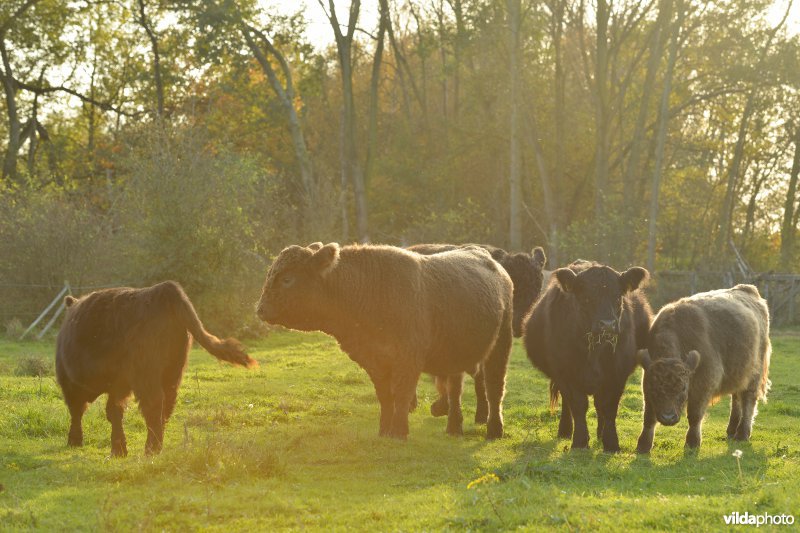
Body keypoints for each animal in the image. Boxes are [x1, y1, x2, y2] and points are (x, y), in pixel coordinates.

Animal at [55, 280, 255, 456]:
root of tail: (163, 289)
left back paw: (151, 449)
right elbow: (113, 411)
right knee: (166, 405)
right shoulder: (118, 384)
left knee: (153, 404)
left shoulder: (71, 382)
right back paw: (158, 444)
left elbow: (79, 410)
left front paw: (76, 440)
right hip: (172, 371)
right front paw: (119, 449)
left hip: (146, 373)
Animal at [260, 243, 516, 438]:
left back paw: (494, 429)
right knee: (455, 390)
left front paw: (399, 431)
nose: (260, 309)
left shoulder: (408, 359)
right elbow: (386, 396)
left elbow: (402, 394)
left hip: (500, 346)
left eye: (287, 279)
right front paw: (384, 430)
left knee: (494, 387)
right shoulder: (375, 361)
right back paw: (453, 426)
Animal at [524, 260, 648, 450]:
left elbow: (608, 406)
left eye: (617, 296)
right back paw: (565, 430)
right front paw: (580, 441)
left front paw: (611, 443)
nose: (608, 325)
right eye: (587, 298)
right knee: (568, 404)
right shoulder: (566, 373)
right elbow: (578, 405)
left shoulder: (617, 374)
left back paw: (600, 433)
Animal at [636, 282, 768, 454]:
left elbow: (694, 415)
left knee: (748, 401)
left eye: (683, 388)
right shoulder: (647, 385)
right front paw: (643, 445)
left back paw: (742, 434)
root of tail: (747, 289)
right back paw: (731, 430)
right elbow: (649, 417)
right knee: (736, 399)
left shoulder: (704, 383)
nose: (668, 417)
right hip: (738, 373)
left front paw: (692, 443)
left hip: (754, 374)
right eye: (654, 388)